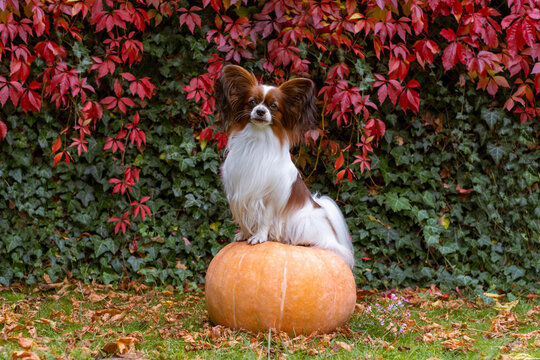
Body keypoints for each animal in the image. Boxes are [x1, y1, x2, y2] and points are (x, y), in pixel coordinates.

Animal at [213, 64, 356, 268]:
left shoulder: (270, 197)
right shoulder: (239, 192)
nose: (260, 111)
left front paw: (259, 237)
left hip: (305, 221)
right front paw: (244, 234)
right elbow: (243, 217)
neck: (257, 141)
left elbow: (264, 219)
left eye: (273, 106)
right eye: (252, 102)